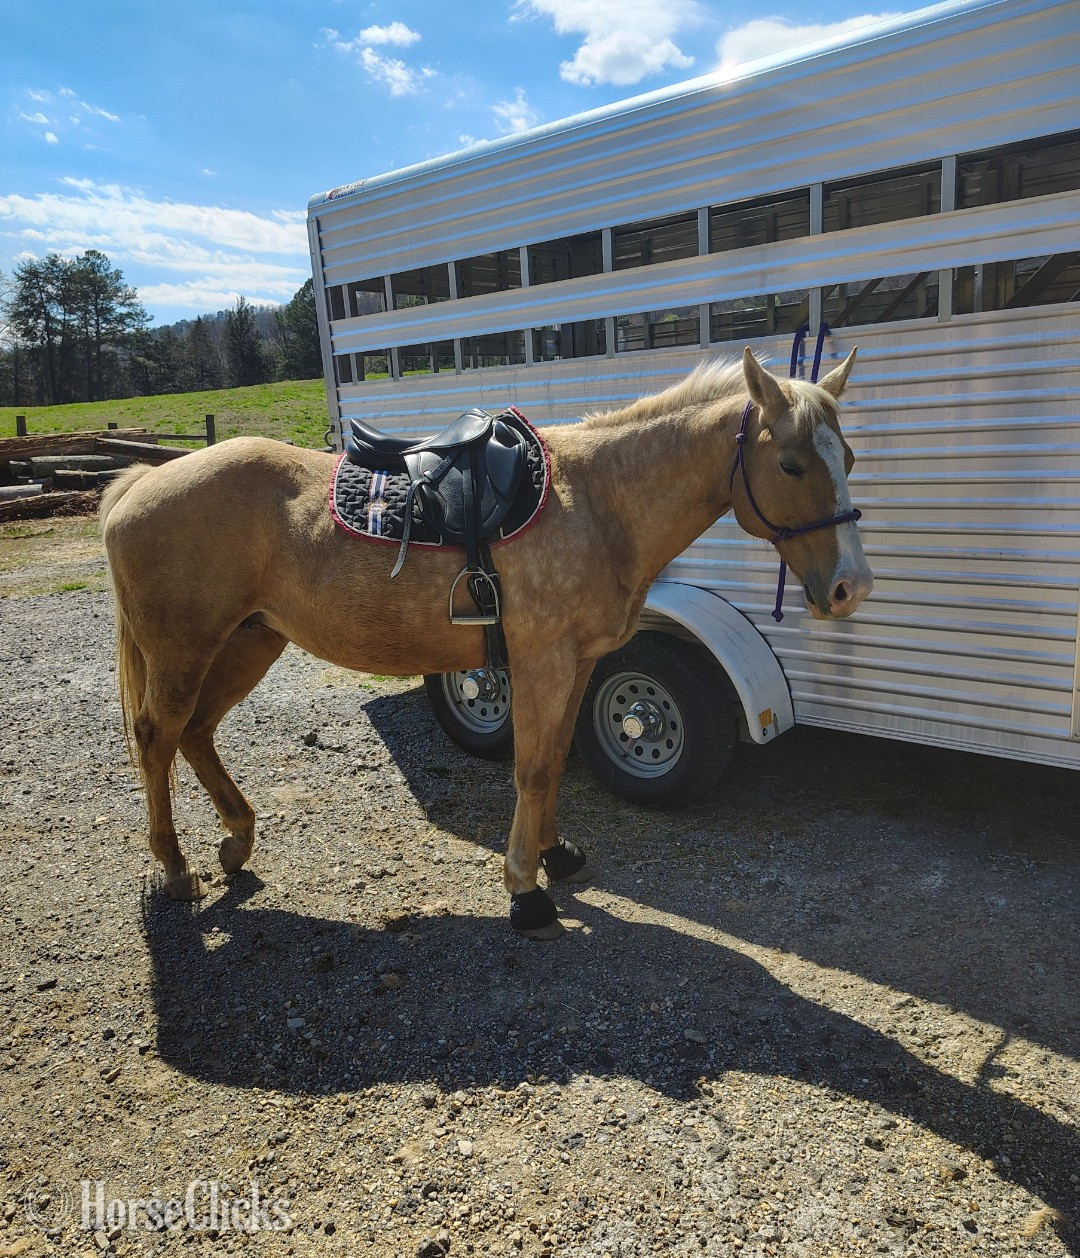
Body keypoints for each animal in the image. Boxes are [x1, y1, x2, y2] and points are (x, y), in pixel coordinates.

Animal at [100, 348, 873, 939]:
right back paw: (175, 869)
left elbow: (554, 763)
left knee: (195, 734)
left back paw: (235, 840)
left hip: (247, 643)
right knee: (157, 738)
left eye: (848, 456)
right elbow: (530, 770)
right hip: (184, 651)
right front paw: (525, 890)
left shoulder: (578, 664)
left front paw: (556, 856)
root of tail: (142, 482)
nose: (850, 587)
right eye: (793, 464)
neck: (599, 501)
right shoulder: (542, 663)